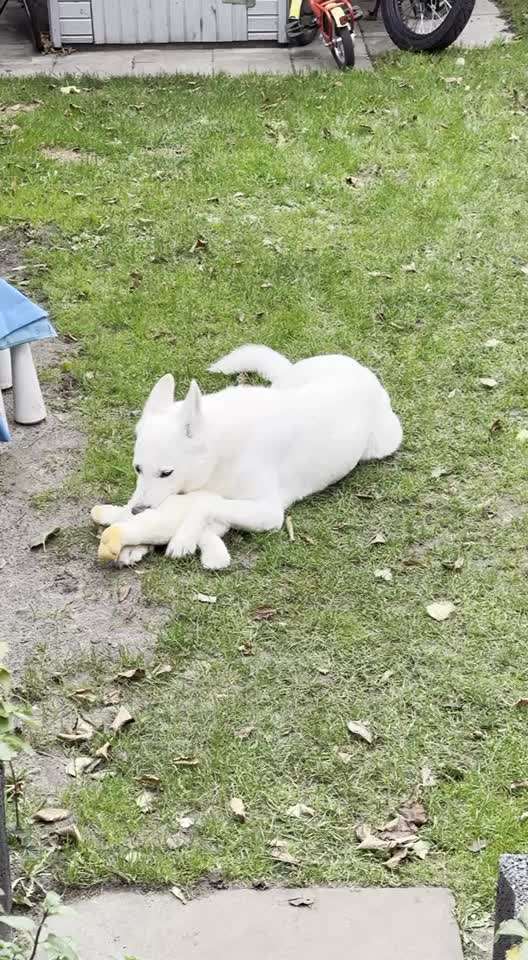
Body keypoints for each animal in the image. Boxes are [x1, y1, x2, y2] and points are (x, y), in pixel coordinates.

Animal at [95, 342, 400, 564]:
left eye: (166, 472)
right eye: (137, 469)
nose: (137, 511)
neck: (220, 451)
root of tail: (360, 368)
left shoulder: (269, 511)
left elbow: (204, 505)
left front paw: (183, 538)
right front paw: (132, 541)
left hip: (386, 442)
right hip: (286, 383)